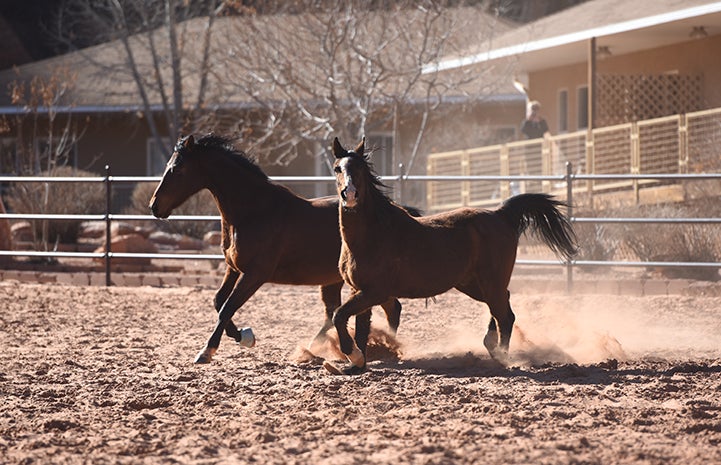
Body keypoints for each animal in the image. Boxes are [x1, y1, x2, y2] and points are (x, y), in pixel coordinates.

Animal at [149, 134, 404, 362]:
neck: (252, 211)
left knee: (386, 308)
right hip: (335, 280)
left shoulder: (254, 274)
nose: (154, 206)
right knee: (357, 310)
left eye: (177, 169)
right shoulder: (233, 268)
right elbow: (219, 301)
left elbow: (227, 307)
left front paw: (207, 351)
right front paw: (244, 336)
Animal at [330, 137, 576, 374]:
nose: (349, 194)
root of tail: (501, 214)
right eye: (337, 168)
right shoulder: (359, 290)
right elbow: (360, 328)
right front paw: (356, 365)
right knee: (502, 307)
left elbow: (339, 316)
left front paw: (353, 356)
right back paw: (491, 345)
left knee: (505, 316)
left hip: (489, 282)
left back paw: (502, 357)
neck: (373, 234)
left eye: (360, 168)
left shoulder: (374, 292)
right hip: (474, 285)